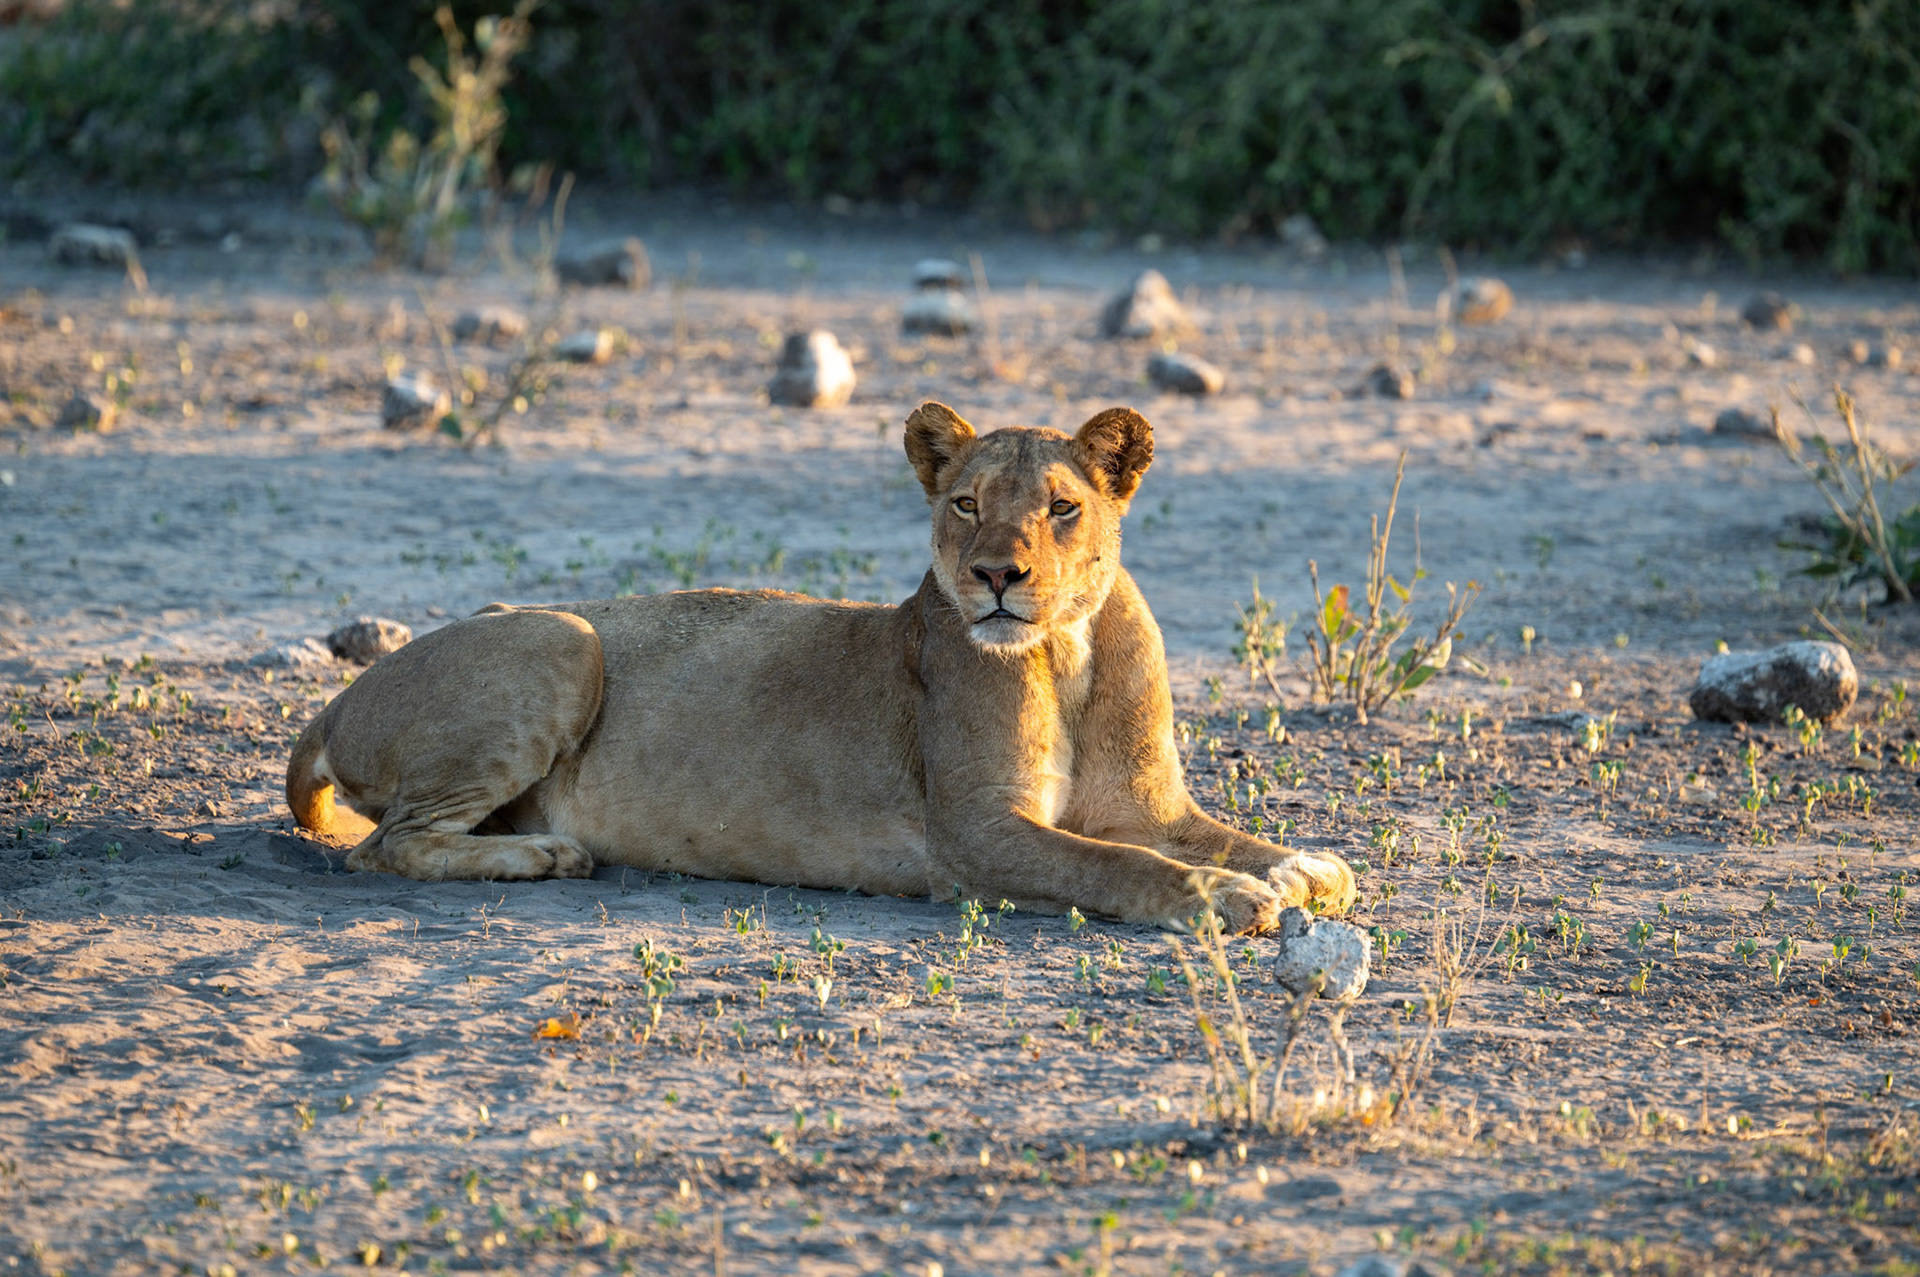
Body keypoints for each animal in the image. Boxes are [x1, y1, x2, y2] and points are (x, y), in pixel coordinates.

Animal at [285, 402, 1356, 934]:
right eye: (966, 503)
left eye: (1061, 506)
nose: (996, 578)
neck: (1069, 651)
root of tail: (335, 702)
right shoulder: (973, 834)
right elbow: (1119, 863)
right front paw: (1225, 899)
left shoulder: (1151, 805)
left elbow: (1226, 838)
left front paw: (1303, 866)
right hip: (562, 636)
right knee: (384, 848)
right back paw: (546, 854)